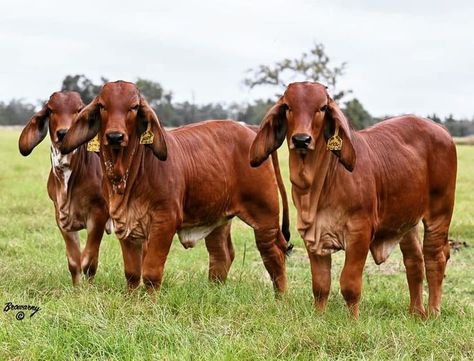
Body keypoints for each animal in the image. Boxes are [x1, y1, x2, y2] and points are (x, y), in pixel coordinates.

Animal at [18, 90, 110, 284]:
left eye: (78, 110)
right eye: (51, 110)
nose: (63, 133)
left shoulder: (99, 213)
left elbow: (89, 262)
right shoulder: (60, 215)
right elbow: (75, 262)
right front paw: (77, 289)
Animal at [61, 81, 290, 292]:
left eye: (134, 107)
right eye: (102, 106)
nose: (115, 136)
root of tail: (251, 129)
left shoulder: (165, 221)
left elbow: (151, 274)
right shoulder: (123, 223)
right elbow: (132, 273)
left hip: (265, 216)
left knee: (273, 255)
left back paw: (281, 299)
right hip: (218, 217)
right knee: (221, 254)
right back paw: (213, 293)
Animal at [250, 81, 458, 318]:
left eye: (322, 107)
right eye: (287, 107)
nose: (301, 140)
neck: (315, 188)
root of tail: (441, 129)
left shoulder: (360, 232)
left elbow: (349, 284)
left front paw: (353, 320)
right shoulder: (311, 235)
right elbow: (320, 284)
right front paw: (319, 316)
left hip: (440, 212)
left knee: (435, 256)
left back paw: (433, 312)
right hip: (406, 221)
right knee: (414, 260)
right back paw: (416, 312)